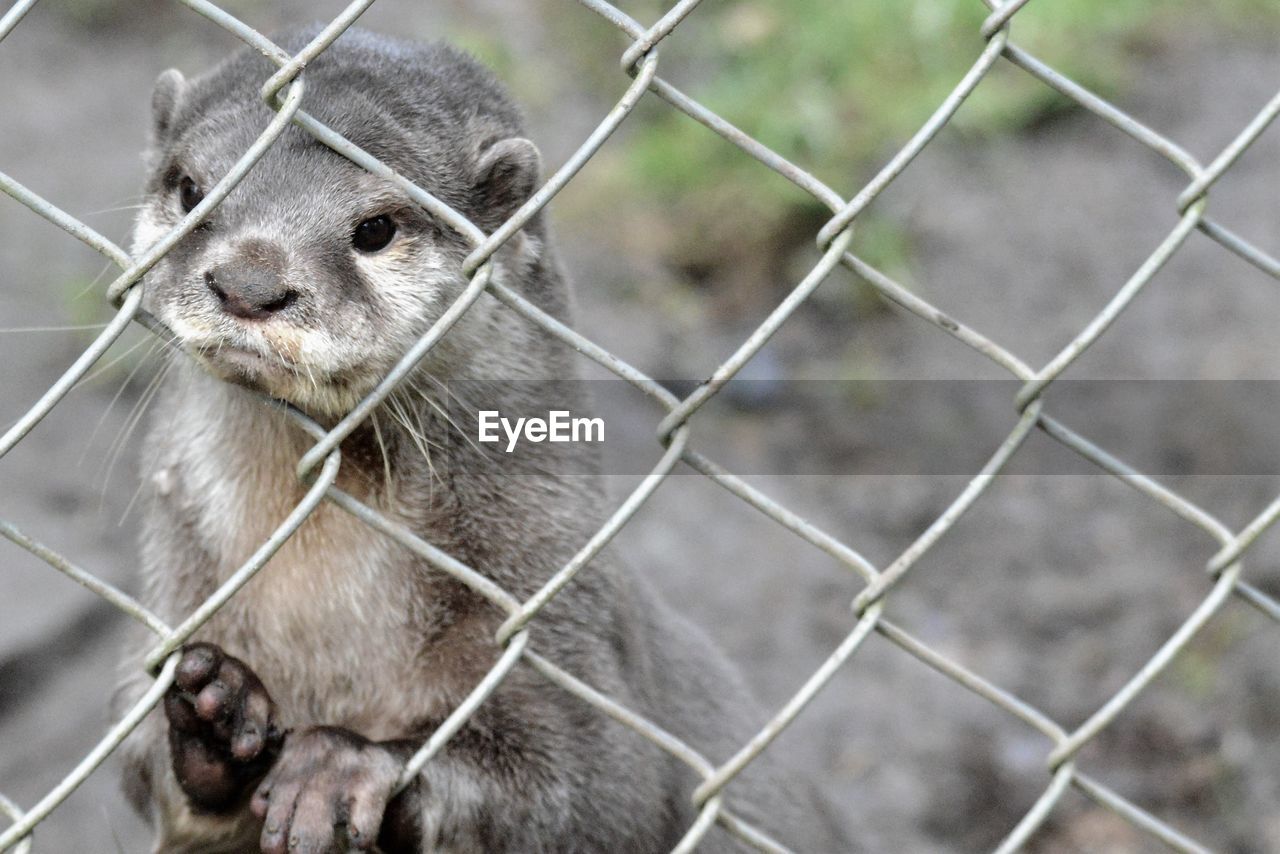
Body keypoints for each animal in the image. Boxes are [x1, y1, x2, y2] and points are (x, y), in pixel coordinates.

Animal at [115, 26, 844, 854]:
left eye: (375, 230)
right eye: (190, 189)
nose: (248, 283)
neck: (325, 618)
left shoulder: (552, 597)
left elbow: (598, 787)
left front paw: (343, 765)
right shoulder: (176, 580)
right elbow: (147, 771)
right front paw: (215, 713)